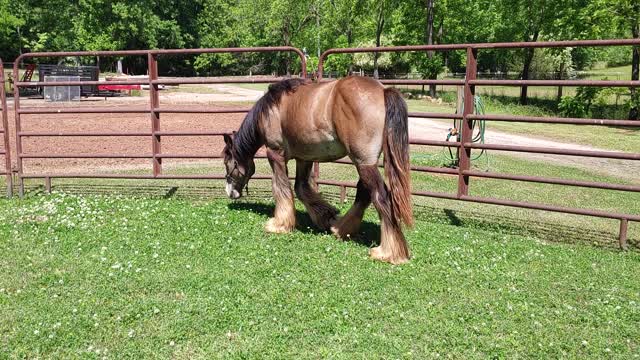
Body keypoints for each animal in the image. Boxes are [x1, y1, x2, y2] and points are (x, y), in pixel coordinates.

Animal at [224, 76, 416, 264]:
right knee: (364, 194)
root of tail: (383, 91)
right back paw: (340, 229)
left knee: (380, 197)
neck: (271, 109)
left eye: (228, 163)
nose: (230, 192)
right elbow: (301, 189)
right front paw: (325, 215)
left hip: (363, 163)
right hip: (364, 163)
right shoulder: (304, 158)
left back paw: (388, 253)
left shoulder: (275, 154)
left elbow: (281, 189)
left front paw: (279, 225)